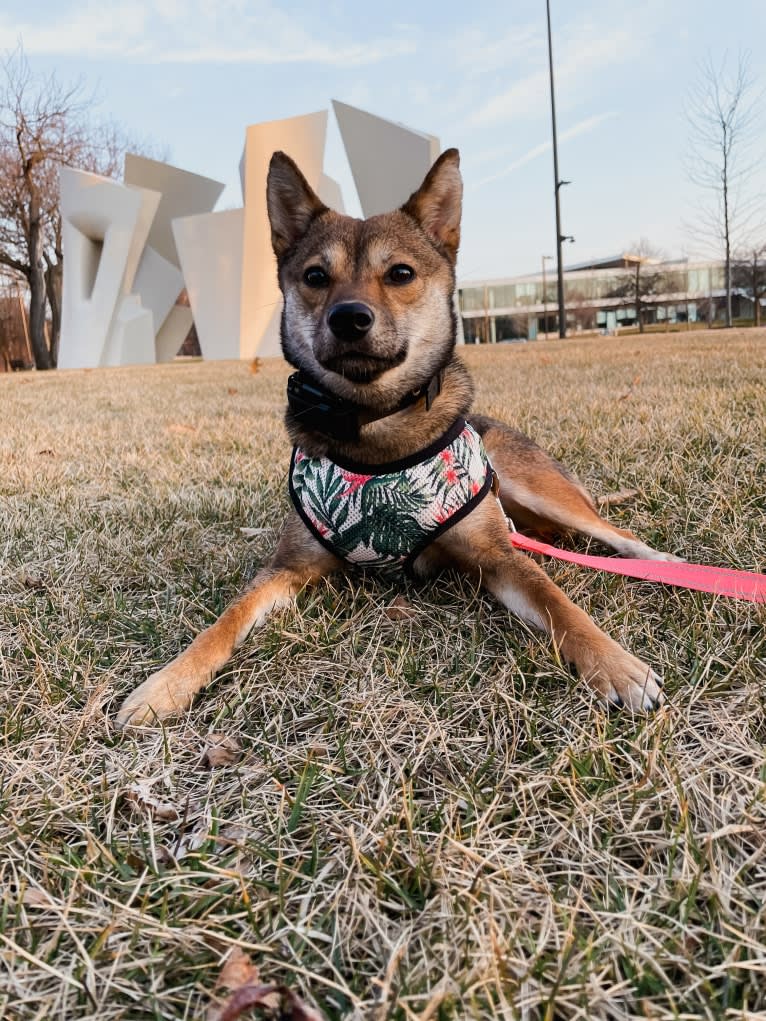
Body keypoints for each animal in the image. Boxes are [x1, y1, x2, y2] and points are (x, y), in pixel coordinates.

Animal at [115, 149, 678, 726]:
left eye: (401, 273)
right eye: (315, 275)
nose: (349, 317)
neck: (373, 426)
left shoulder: (496, 557)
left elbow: (558, 602)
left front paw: (615, 664)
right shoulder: (286, 568)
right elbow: (226, 619)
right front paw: (167, 683)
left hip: (534, 485)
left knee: (613, 533)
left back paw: (661, 564)